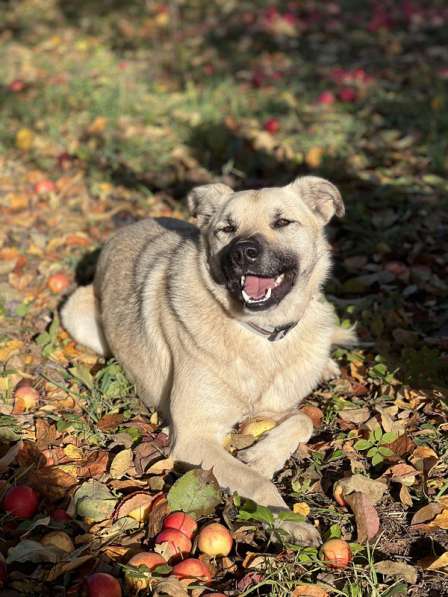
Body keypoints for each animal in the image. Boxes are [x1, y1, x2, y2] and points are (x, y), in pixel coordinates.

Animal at [61, 173, 356, 544]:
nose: (244, 252)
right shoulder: (193, 437)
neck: (259, 334)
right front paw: (286, 518)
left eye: (282, 222)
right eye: (227, 228)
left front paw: (260, 456)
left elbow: (304, 420)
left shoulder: (273, 406)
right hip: (78, 315)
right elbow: (254, 480)